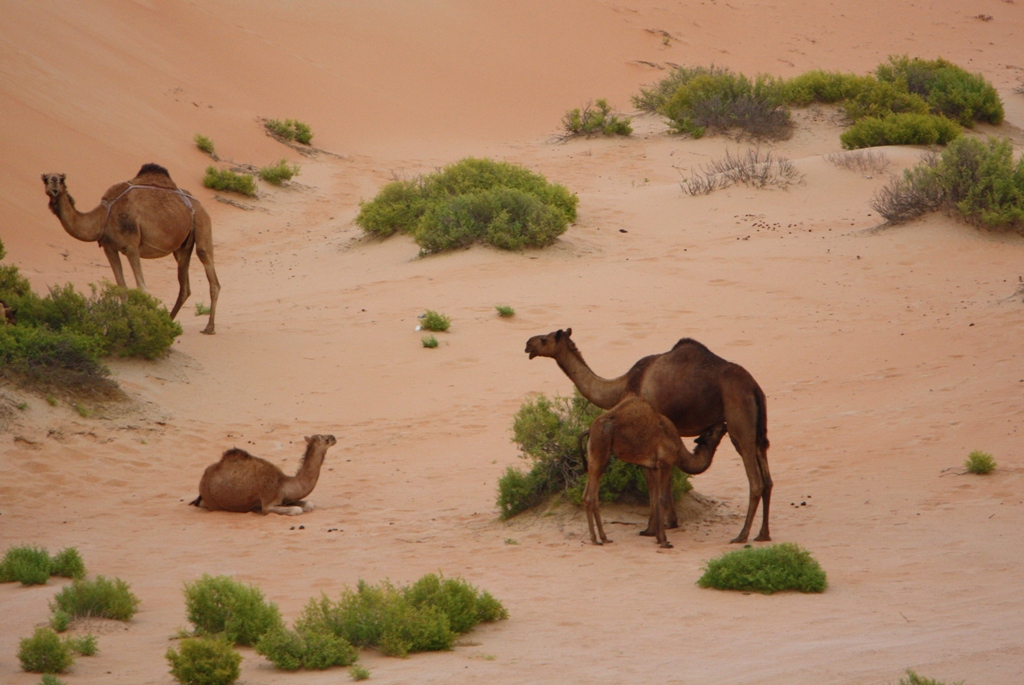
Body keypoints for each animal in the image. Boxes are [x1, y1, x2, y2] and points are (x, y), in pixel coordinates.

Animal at [44, 162, 222, 333]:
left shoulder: (131, 246)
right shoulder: (109, 248)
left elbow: (142, 288)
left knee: (210, 273)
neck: (104, 216)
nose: (54, 186)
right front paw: (123, 325)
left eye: (61, 179)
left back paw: (209, 328)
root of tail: (199, 204)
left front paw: (142, 327)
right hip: (182, 247)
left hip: (202, 222)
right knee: (185, 287)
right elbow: (121, 288)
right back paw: (169, 323)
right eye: (45, 179)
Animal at [190, 432, 337, 511]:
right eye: (326, 439)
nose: (334, 437)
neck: (283, 483)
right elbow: (297, 510)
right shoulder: (268, 503)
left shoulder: (285, 499)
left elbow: (308, 504)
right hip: (212, 502)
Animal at [524, 327, 770, 540]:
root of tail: (754, 387)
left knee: (754, 478)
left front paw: (653, 528)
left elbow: (651, 479)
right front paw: (670, 522)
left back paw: (741, 535)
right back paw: (762, 534)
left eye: (544, 339)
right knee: (766, 476)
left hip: (740, 421)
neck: (622, 386)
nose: (528, 344)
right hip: (758, 427)